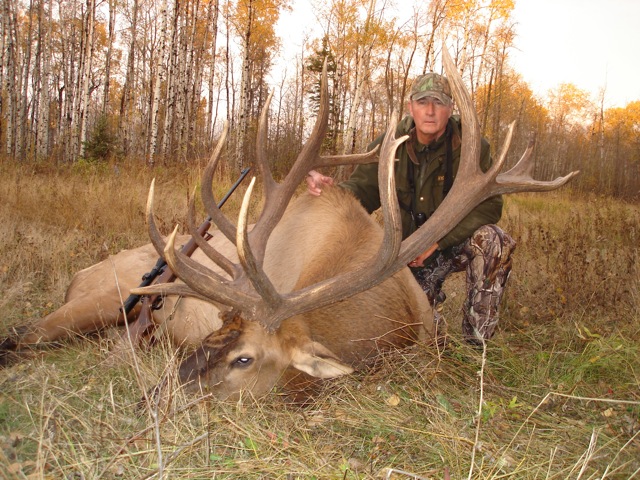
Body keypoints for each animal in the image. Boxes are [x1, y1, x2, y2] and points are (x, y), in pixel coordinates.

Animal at [0, 48, 577, 402]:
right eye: (207, 339)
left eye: (244, 359)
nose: (157, 396)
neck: (385, 324)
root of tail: (81, 273)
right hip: (101, 297)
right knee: (25, 332)